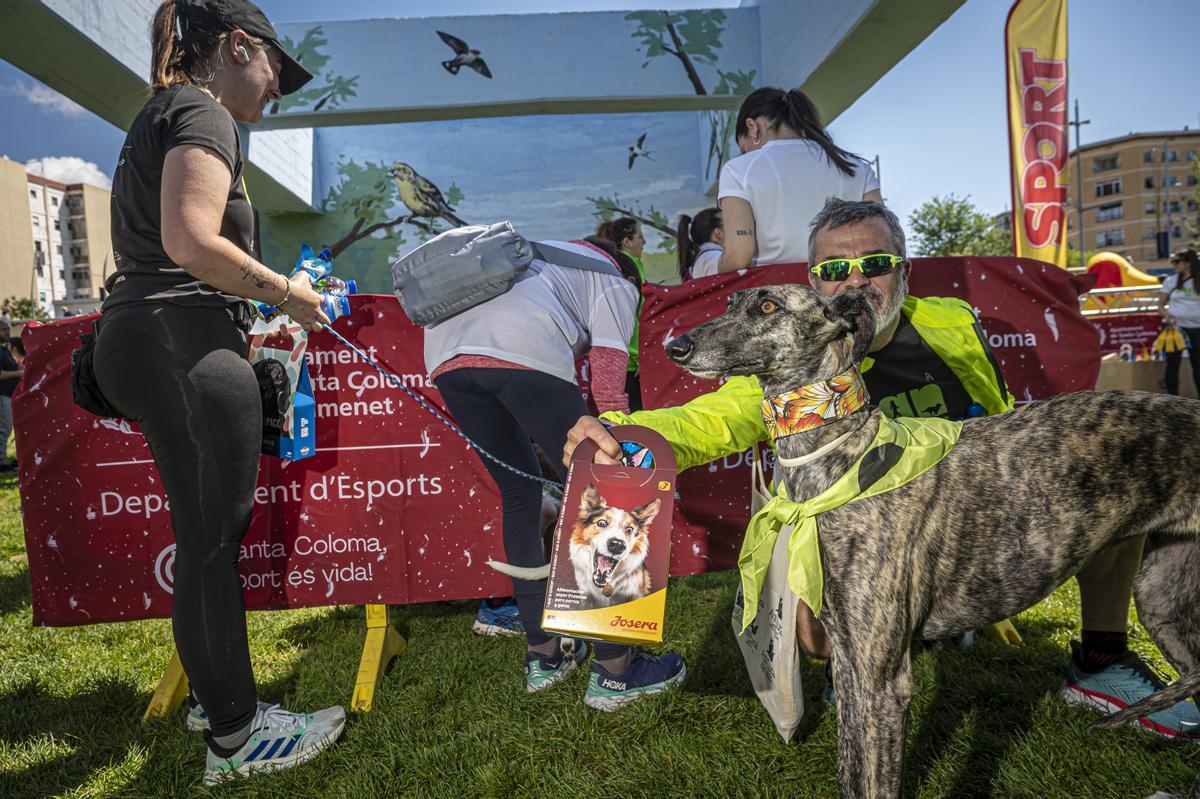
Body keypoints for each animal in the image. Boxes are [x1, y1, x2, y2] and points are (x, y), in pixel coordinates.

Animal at [667, 283, 1200, 791]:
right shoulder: (850, 662)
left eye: (768, 306)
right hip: (1162, 600)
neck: (844, 456)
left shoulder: (882, 681)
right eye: (730, 302)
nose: (676, 346)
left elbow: (875, 784)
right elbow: (851, 774)